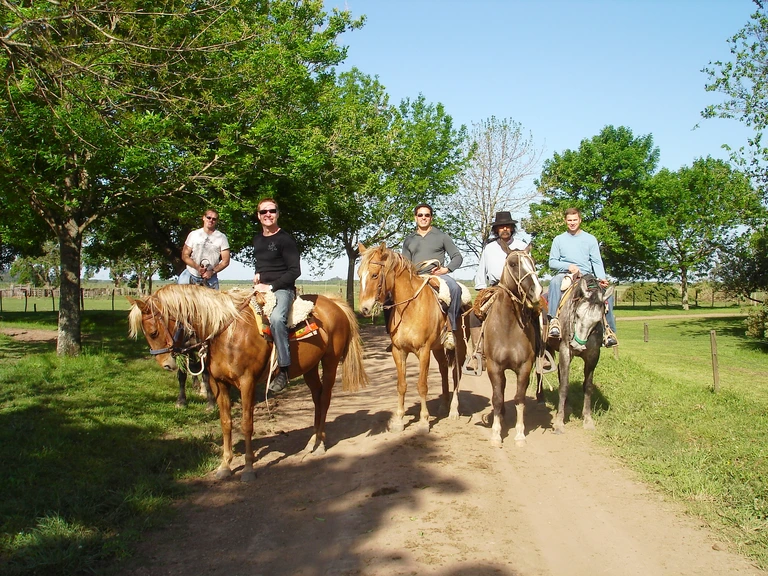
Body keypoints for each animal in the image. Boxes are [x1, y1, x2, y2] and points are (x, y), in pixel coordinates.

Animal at [127, 284, 368, 482]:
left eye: (153, 331)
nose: (166, 364)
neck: (226, 333)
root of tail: (334, 304)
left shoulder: (247, 382)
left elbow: (246, 424)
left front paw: (249, 468)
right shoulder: (219, 383)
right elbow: (226, 423)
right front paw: (225, 466)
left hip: (330, 362)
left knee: (325, 399)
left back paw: (319, 445)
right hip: (309, 368)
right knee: (317, 398)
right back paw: (313, 442)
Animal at [356, 243, 468, 432]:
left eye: (374, 274)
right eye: (358, 274)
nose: (364, 309)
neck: (410, 308)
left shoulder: (423, 351)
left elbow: (422, 386)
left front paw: (423, 421)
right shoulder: (399, 351)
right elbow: (401, 386)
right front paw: (399, 420)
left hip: (459, 347)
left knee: (456, 374)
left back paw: (453, 410)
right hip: (438, 348)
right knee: (444, 369)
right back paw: (444, 405)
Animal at [480, 245, 544, 448]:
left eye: (533, 262)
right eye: (513, 263)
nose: (536, 290)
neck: (507, 327)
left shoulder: (524, 367)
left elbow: (519, 398)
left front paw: (520, 434)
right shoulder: (494, 367)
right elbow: (497, 398)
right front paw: (496, 434)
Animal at [548, 274, 616, 432]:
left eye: (597, 321)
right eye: (577, 314)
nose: (577, 346)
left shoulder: (593, 355)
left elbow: (588, 386)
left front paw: (587, 419)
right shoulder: (565, 351)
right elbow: (564, 386)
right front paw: (559, 422)